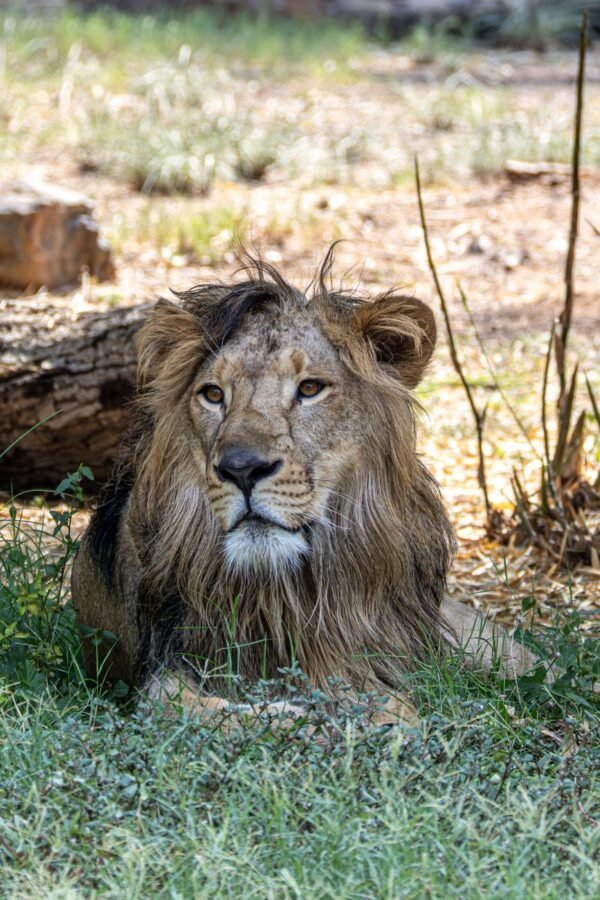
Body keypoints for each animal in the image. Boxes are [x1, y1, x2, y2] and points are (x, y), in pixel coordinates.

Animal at [72, 253, 532, 726]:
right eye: (213, 394)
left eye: (310, 388)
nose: (242, 469)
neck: (285, 592)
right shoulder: (164, 662)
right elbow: (198, 709)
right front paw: (298, 719)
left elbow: (387, 698)